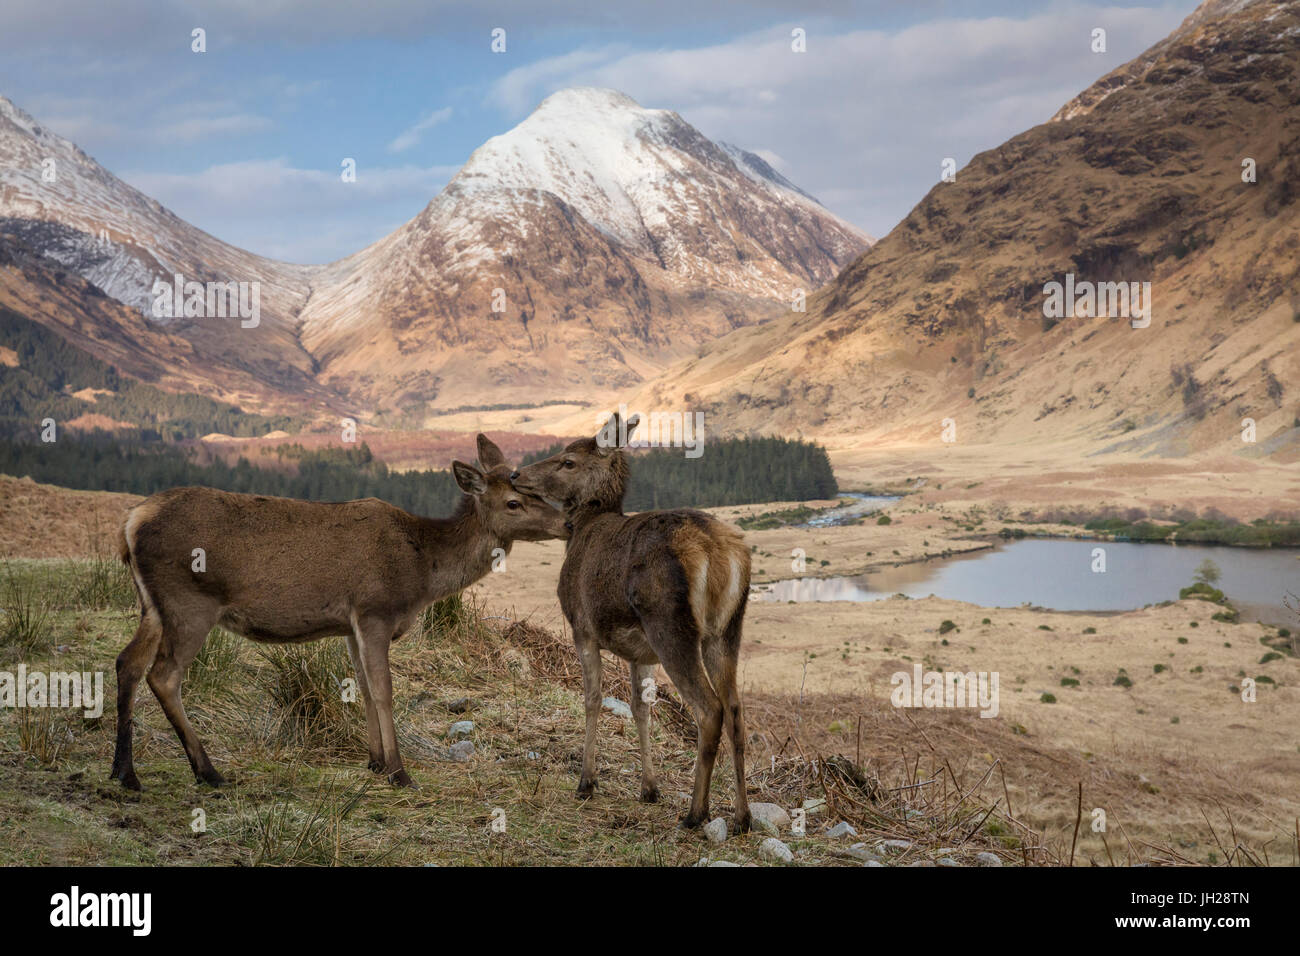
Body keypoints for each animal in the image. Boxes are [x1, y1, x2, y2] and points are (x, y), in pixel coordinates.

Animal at [114, 434, 572, 790]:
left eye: (535, 492)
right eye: (513, 503)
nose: (568, 522)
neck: (422, 572)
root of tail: (132, 522)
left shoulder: (351, 624)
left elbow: (364, 688)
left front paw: (375, 762)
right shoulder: (374, 609)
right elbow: (384, 690)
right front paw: (400, 772)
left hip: (152, 605)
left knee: (127, 662)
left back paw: (125, 773)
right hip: (189, 601)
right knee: (163, 675)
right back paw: (206, 771)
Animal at [506, 416, 754, 832]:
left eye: (568, 461)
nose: (515, 474)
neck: (581, 533)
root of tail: (718, 552)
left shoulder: (583, 627)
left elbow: (592, 699)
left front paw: (587, 782)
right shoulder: (641, 653)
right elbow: (641, 708)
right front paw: (649, 789)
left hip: (670, 624)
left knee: (710, 709)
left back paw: (695, 813)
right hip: (727, 628)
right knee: (735, 709)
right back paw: (742, 816)